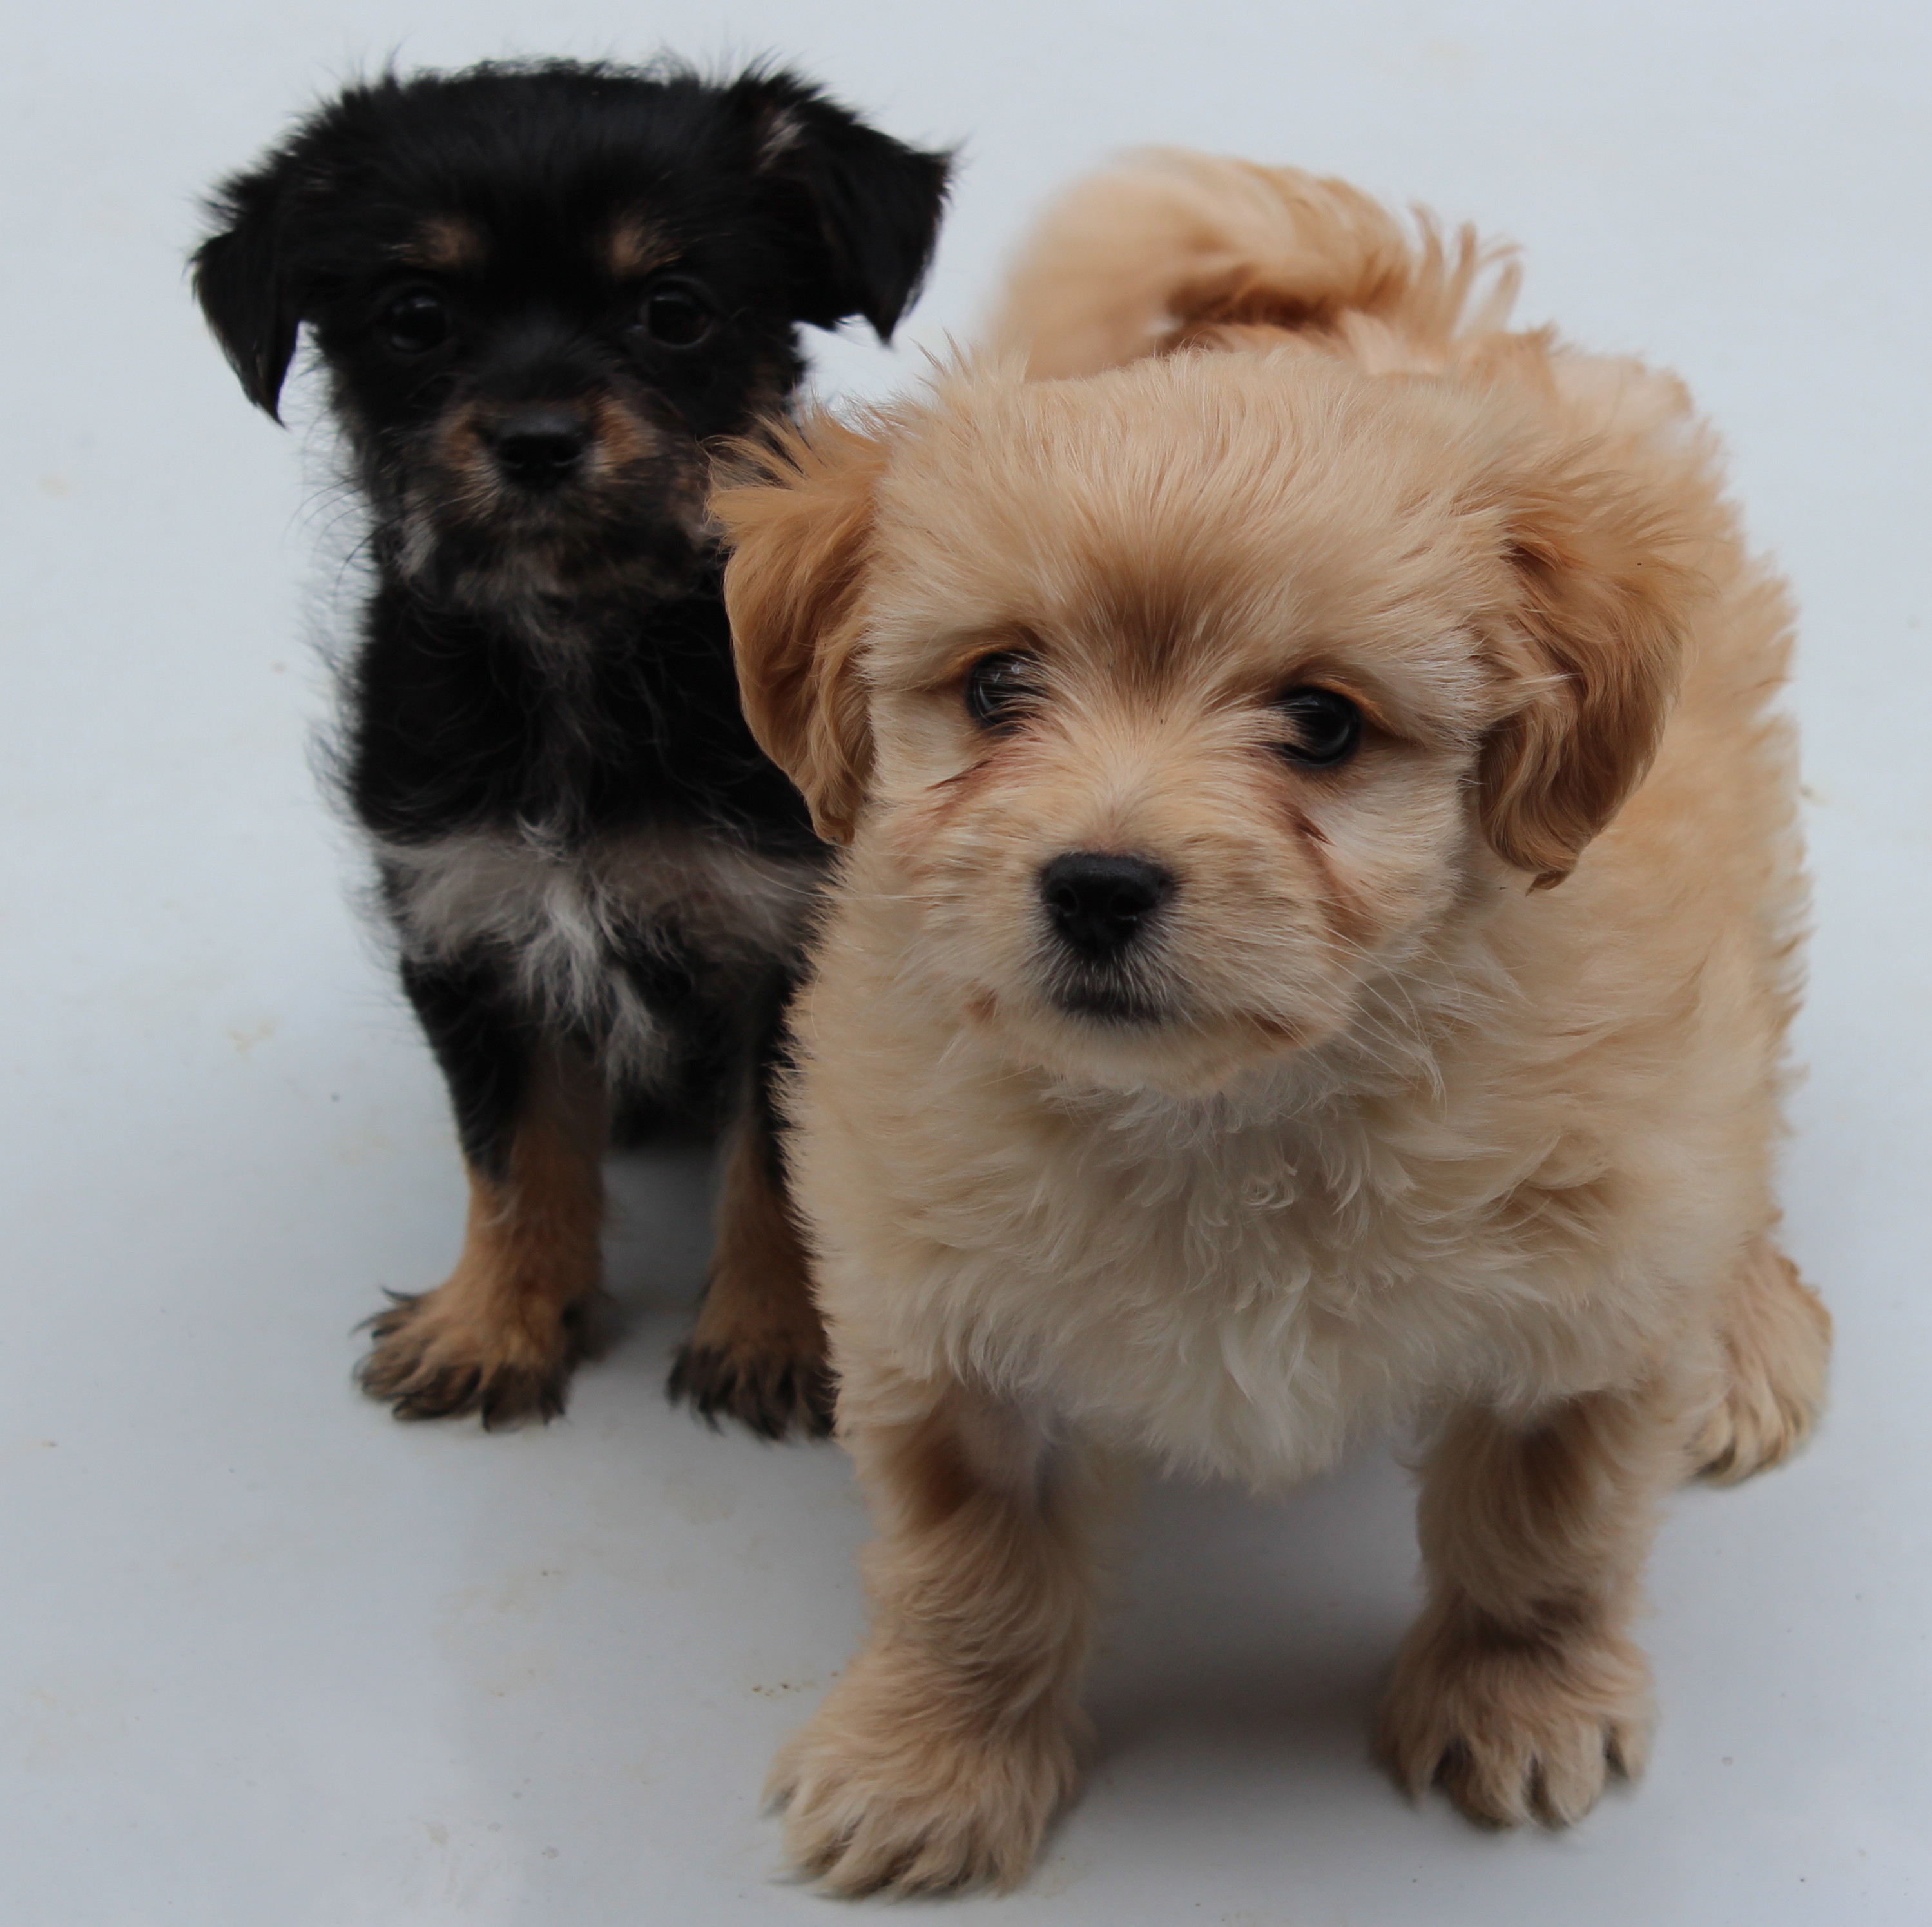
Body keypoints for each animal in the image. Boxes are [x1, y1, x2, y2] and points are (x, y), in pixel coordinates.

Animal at [196, 60, 951, 1438]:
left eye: (673, 310)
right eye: (416, 315)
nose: (537, 437)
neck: (578, 650)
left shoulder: (785, 952)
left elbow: (773, 1166)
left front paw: (776, 1340)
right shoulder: (470, 926)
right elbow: (512, 1155)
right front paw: (493, 1326)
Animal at [719, 154, 1831, 1894]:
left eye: (1318, 724)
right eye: (997, 686)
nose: (1098, 883)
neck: (1231, 1112)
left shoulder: (1576, 1307)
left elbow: (1546, 1537)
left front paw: (1516, 1701)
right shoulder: (946, 1339)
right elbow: (969, 1576)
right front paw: (931, 1761)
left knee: (1747, 1112)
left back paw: (1747, 1321)